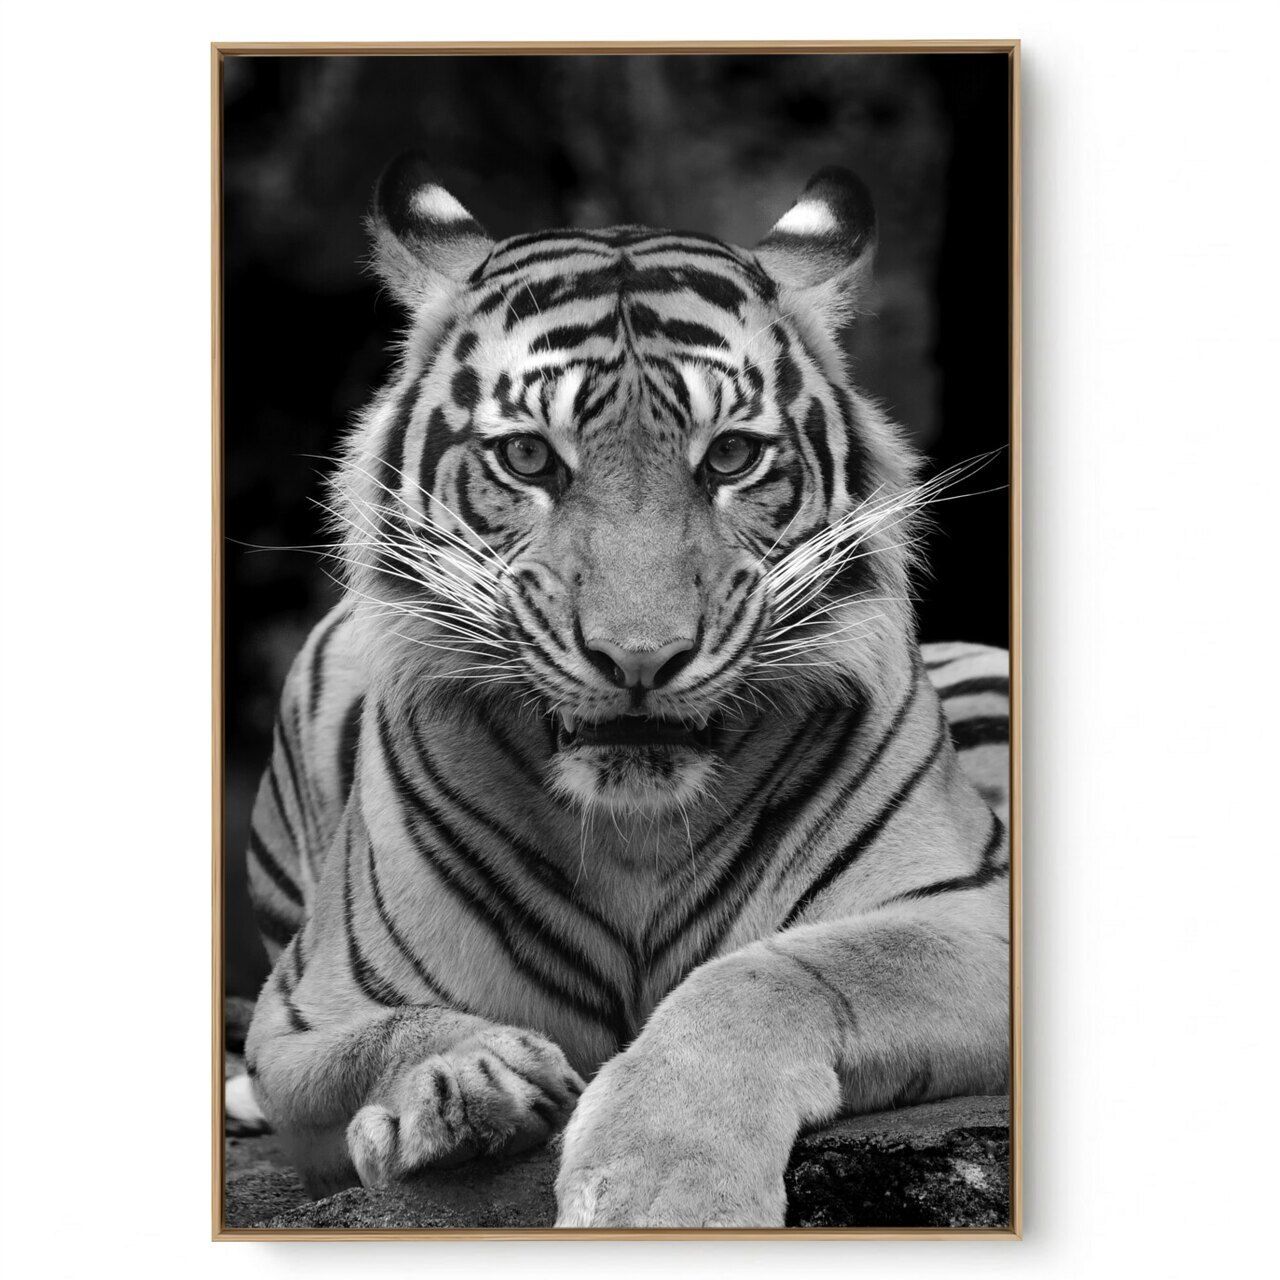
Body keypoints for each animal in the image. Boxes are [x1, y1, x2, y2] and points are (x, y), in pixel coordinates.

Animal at [235, 154, 1012, 1228]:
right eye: (528, 456)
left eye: (731, 456)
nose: (640, 658)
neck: (633, 838)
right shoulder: (304, 1008)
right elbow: (369, 1043)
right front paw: (462, 1081)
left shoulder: (972, 917)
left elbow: (777, 975)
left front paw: (663, 1189)